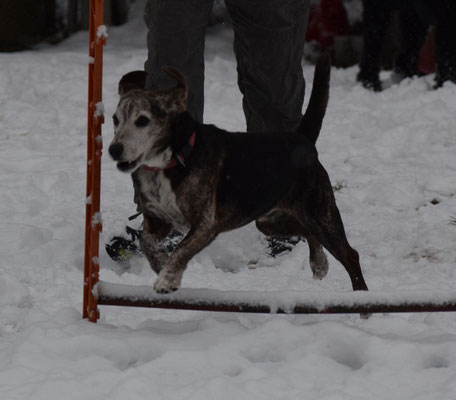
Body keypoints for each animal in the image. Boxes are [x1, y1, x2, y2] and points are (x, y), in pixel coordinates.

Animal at [108, 54, 368, 294]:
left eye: (143, 120)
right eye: (115, 119)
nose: (114, 149)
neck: (170, 161)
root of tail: (301, 140)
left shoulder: (205, 223)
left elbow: (182, 249)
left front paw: (168, 278)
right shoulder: (158, 219)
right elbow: (146, 241)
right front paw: (160, 263)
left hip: (320, 213)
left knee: (350, 254)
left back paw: (361, 298)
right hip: (270, 220)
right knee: (306, 232)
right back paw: (319, 263)